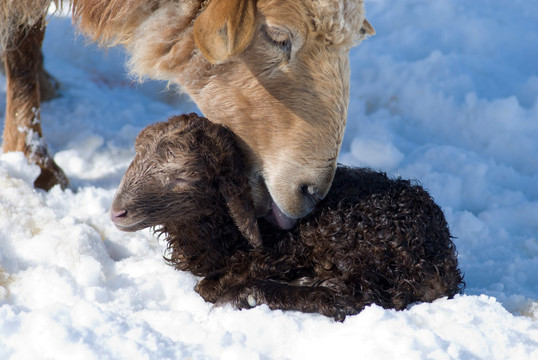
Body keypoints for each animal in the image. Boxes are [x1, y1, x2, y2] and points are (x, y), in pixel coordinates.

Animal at [109, 113, 460, 320]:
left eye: (183, 177)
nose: (117, 212)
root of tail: (441, 262)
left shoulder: (281, 251)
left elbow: (207, 286)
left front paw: (235, 288)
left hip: (356, 242)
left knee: (356, 298)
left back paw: (254, 293)